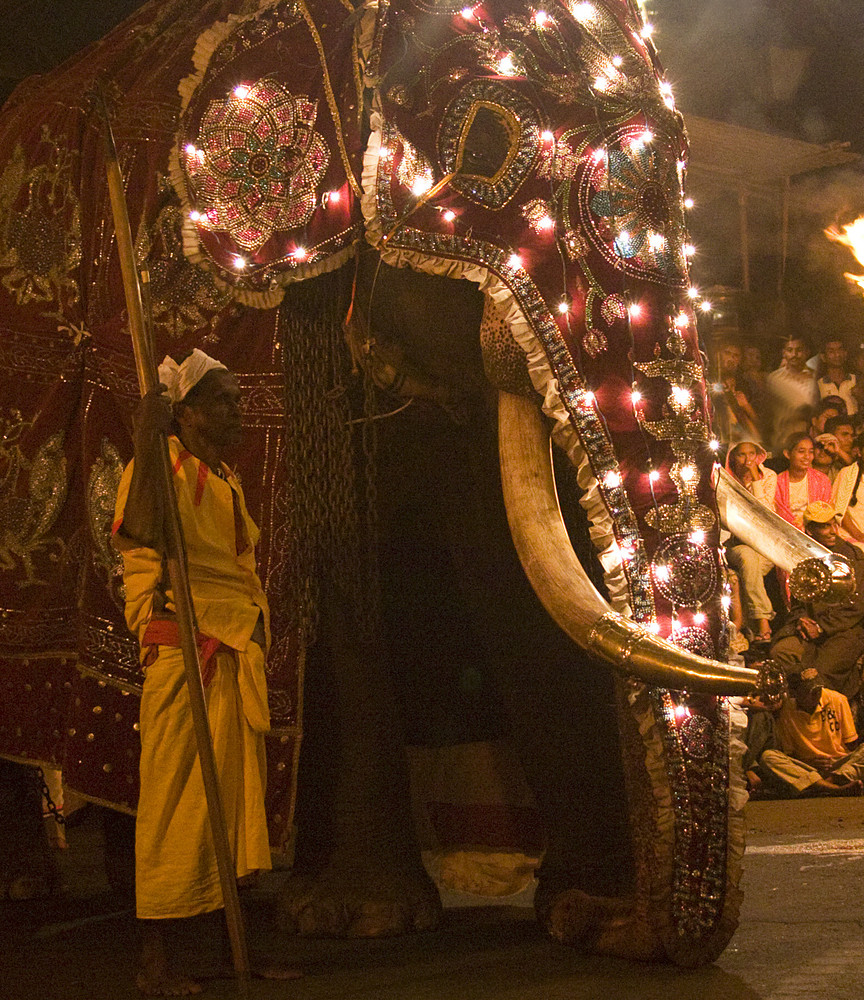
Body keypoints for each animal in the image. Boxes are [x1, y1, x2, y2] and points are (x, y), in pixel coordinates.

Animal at [0, 0, 844, 968]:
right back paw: (55, 887)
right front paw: (362, 918)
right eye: (484, 145)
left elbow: (510, 572)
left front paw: (590, 917)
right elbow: (342, 580)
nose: (769, 678)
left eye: (680, 160)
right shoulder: (306, 327)